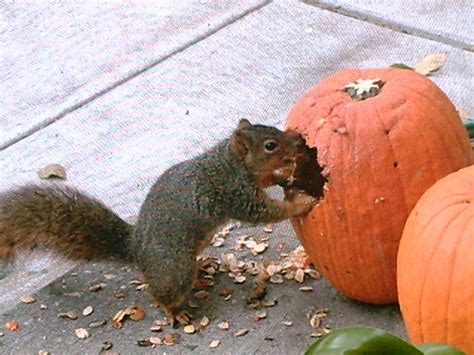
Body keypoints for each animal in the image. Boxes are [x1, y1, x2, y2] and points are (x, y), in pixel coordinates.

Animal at [1, 119, 318, 322]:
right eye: (271, 145)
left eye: (273, 130)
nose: (297, 140)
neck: (229, 161)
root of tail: (136, 250)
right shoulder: (233, 192)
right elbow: (266, 211)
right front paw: (302, 203)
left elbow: (267, 182)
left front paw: (282, 177)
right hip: (174, 271)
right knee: (160, 295)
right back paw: (175, 312)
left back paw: (203, 270)